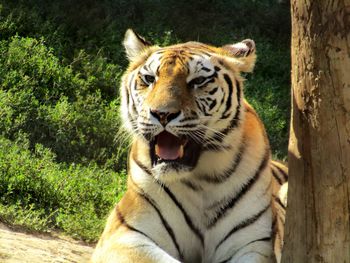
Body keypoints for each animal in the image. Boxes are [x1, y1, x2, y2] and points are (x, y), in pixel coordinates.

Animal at [91, 29, 288, 263]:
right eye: (149, 79)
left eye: (198, 81)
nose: (162, 114)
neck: (202, 181)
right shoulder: (125, 233)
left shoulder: (254, 245)